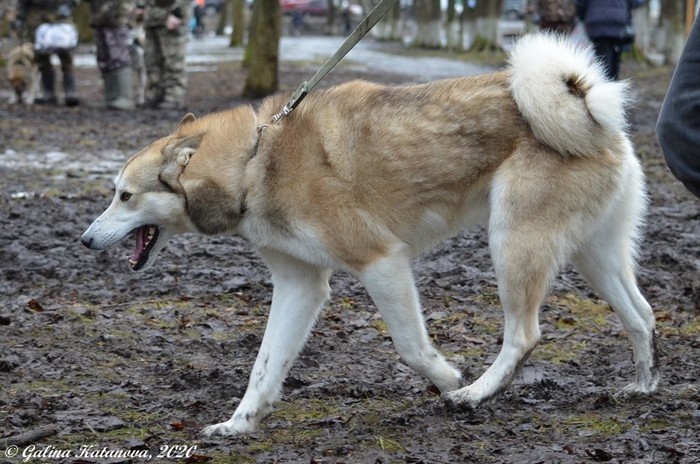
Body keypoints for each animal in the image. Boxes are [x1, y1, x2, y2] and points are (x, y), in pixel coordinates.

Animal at [81, 34, 659, 436]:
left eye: (124, 196)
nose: (85, 241)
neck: (254, 159)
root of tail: (588, 107)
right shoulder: (299, 286)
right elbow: (263, 368)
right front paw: (240, 424)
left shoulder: (381, 263)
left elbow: (411, 348)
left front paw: (448, 380)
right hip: (594, 257)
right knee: (642, 315)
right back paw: (642, 385)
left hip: (512, 245)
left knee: (524, 334)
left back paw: (474, 394)